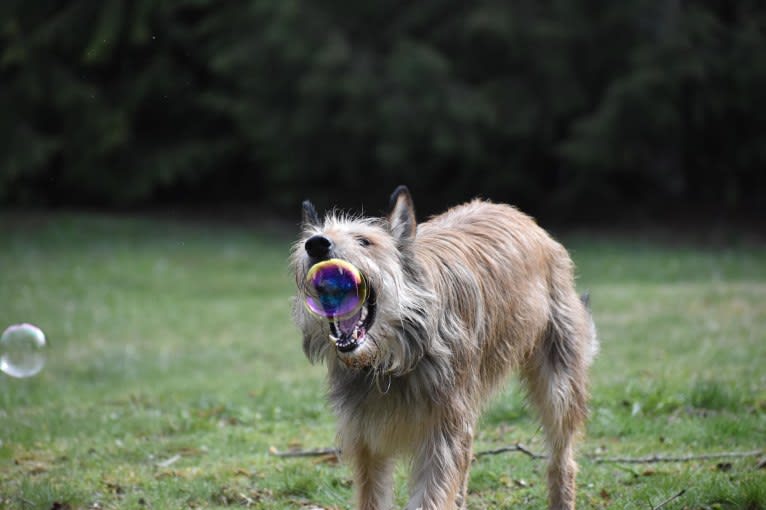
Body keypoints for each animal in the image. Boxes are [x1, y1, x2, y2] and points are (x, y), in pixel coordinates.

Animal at [292, 187, 600, 510]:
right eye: (312, 238)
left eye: (364, 241)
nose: (315, 245)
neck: (393, 360)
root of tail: (524, 219)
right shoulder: (368, 441)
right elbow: (373, 497)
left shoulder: (441, 436)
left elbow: (432, 495)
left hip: (558, 386)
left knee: (562, 460)